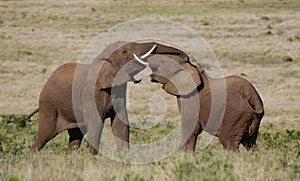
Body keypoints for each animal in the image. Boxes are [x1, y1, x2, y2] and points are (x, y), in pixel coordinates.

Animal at [27, 40, 188, 154]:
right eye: (124, 51)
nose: (186, 58)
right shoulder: (91, 93)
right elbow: (97, 123)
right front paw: (90, 158)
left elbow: (121, 123)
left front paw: (125, 156)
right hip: (49, 105)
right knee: (44, 134)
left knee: (75, 137)